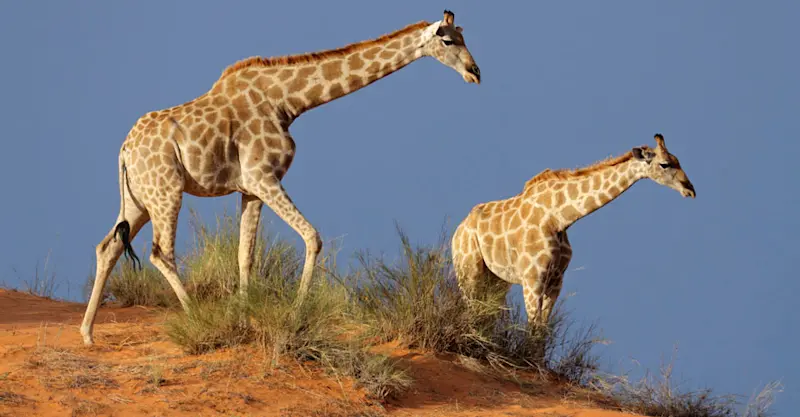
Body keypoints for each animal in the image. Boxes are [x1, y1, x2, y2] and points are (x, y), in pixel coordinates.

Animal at [80, 10, 481, 346]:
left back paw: (87, 333)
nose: (475, 72)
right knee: (160, 253)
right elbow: (312, 237)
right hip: (167, 191)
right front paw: (297, 316)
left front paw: (244, 321)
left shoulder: (250, 189)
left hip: (138, 199)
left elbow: (245, 255)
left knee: (108, 246)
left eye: (464, 36)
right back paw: (196, 319)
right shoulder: (263, 177)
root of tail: (124, 150)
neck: (288, 101)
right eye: (448, 41)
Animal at [451, 134, 696, 328]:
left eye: (678, 160)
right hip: (468, 271)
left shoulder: (556, 281)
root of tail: (458, 230)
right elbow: (533, 329)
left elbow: (543, 332)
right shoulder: (532, 279)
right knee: (470, 309)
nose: (690, 189)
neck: (559, 218)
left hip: (497, 281)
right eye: (665, 164)